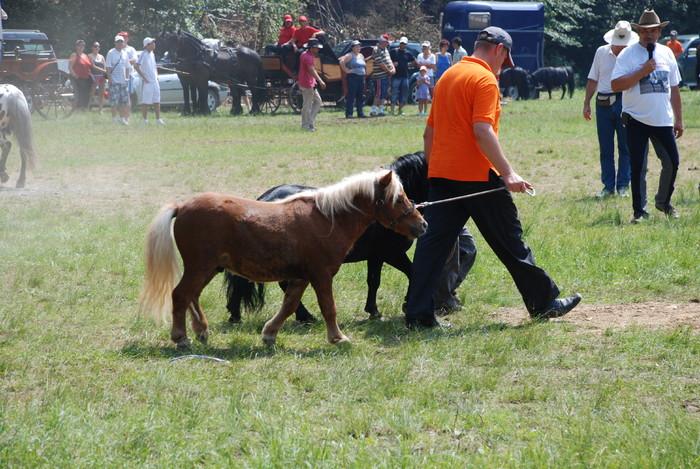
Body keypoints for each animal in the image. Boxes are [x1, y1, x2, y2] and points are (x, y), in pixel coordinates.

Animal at [138, 170, 426, 346]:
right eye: (399, 199)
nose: (422, 224)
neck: (327, 219)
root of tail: (181, 207)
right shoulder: (322, 275)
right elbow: (328, 307)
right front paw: (338, 338)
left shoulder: (301, 278)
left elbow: (289, 306)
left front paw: (269, 334)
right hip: (200, 267)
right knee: (181, 295)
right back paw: (181, 338)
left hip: (208, 268)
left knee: (192, 296)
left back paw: (202, 331)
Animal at [227, 152, 430, 324]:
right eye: (399, 199)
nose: (423, 225)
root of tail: (264, 199)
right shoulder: (392, 253)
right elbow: (413, 272)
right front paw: (406, 303)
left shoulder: (376, 256)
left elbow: (374, 281)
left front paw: (373, 310)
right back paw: (305, 316)